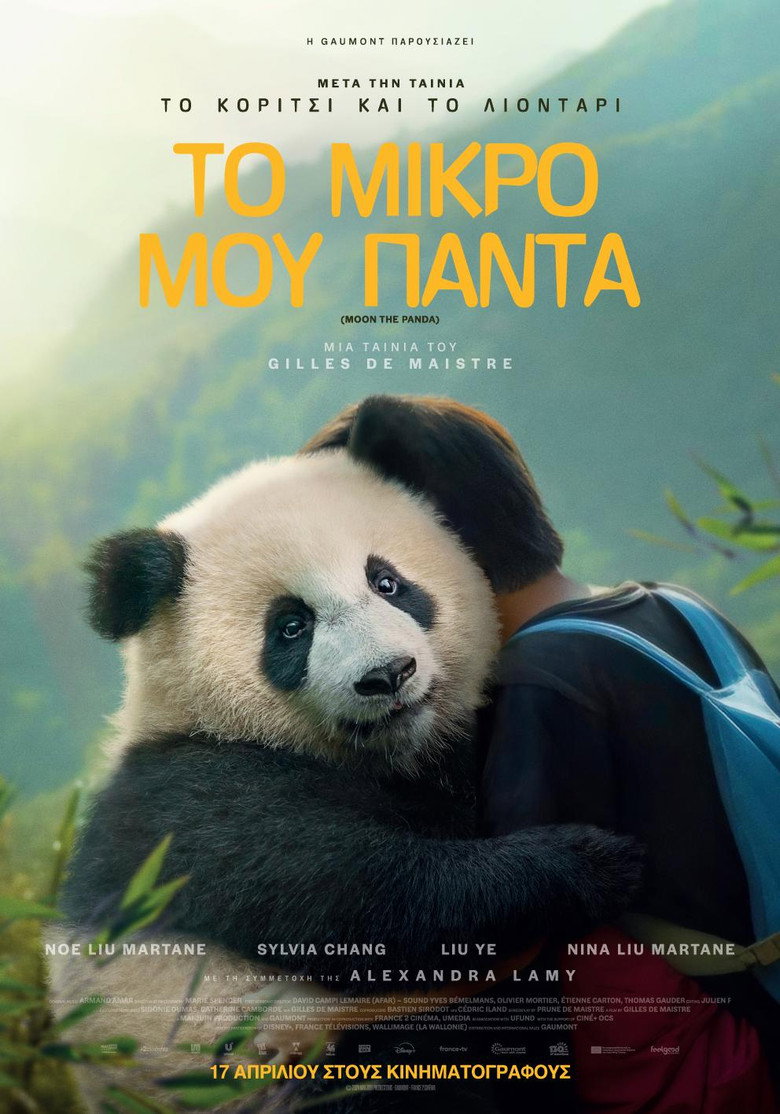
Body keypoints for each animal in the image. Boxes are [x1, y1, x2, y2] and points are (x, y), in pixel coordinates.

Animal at [52, 420, 641, 1113]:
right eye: (290, 626)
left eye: (386, 582)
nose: (387, 674)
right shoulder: (189, 796)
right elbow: (353, 893)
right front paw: (588, 862)